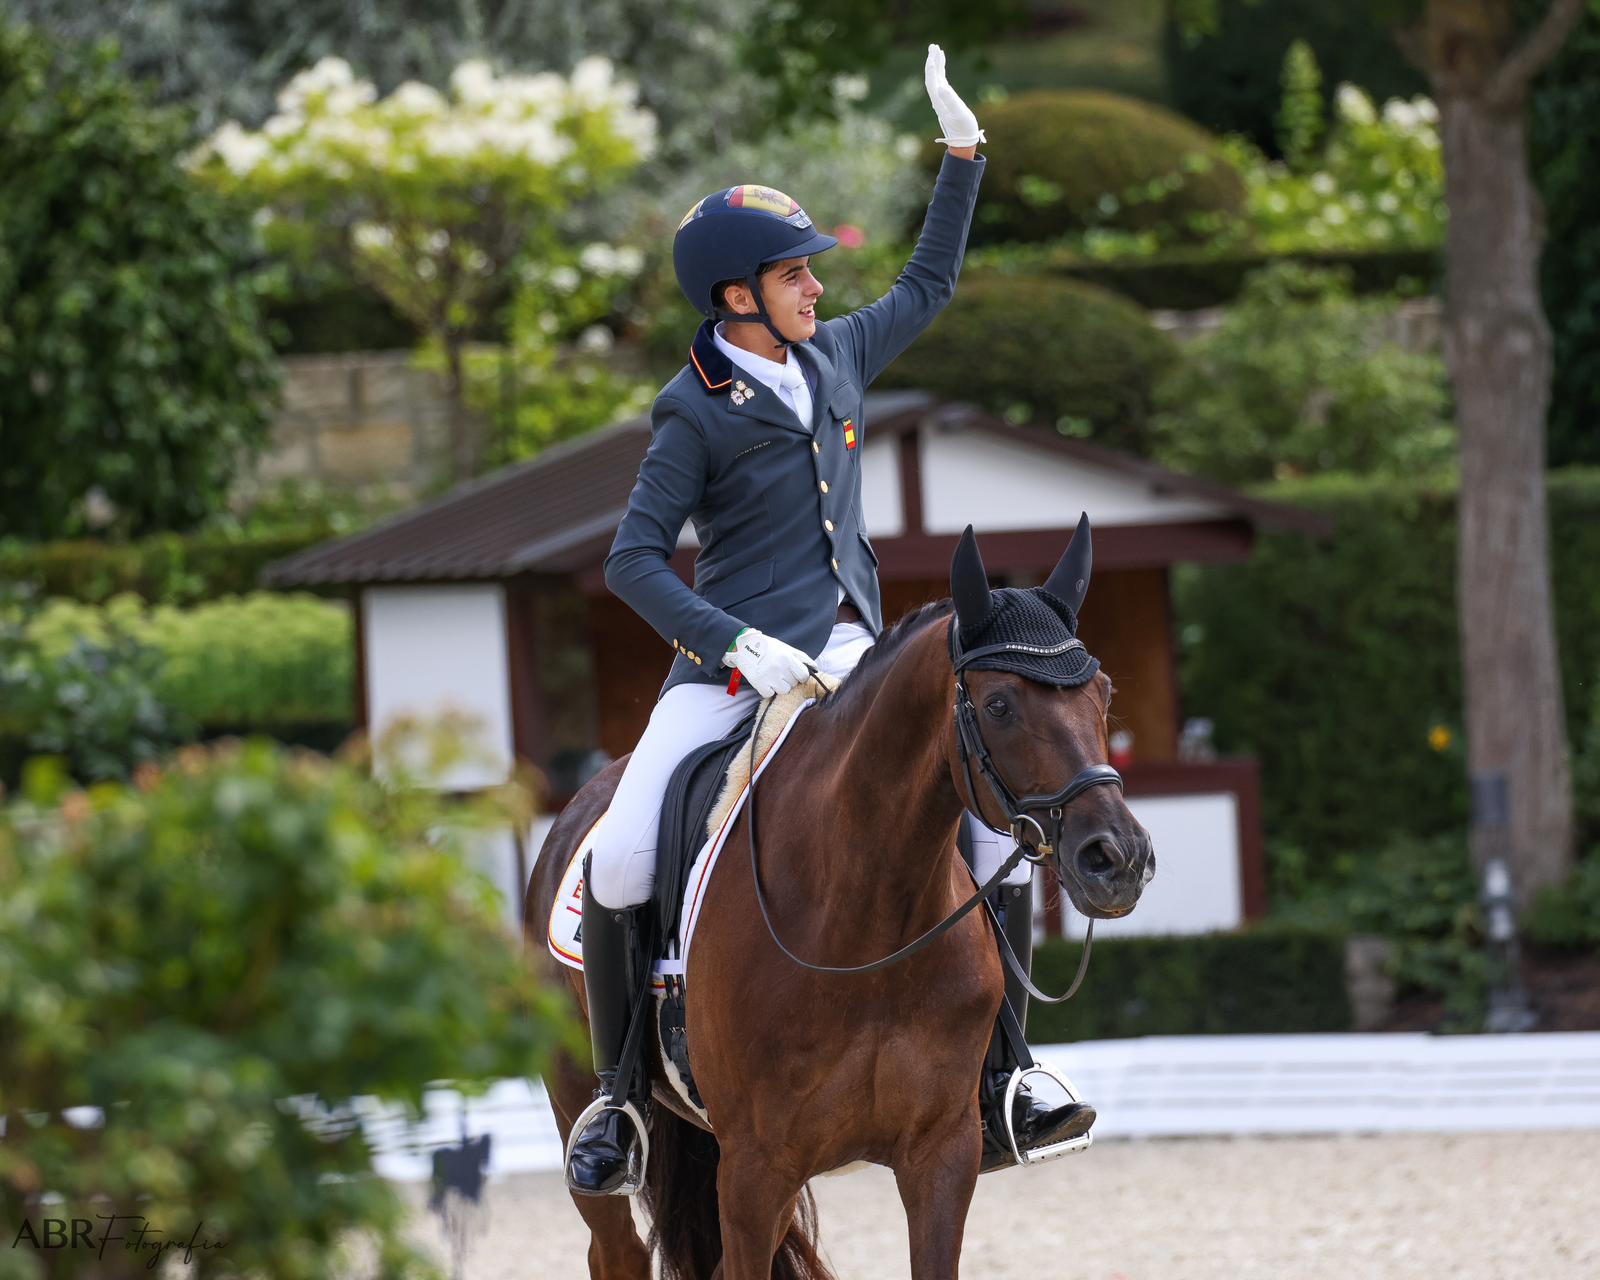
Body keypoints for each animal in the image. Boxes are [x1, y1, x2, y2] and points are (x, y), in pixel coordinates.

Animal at [524, 515, 1152, 1273]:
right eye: (999, 705)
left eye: (1105, 694)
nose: (1118, 859)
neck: (870, 921)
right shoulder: (754, 1171)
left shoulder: (942, 1155)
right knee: (612, 1249)